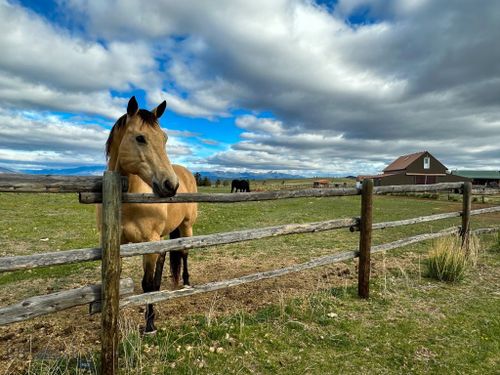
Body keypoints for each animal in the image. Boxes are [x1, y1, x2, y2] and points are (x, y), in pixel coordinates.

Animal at [97, 97, 197, 334]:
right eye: (140, 138)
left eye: (165, 138)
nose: (171, 185)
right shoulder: (118, 245)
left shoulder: (148, 243)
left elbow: (147, 284)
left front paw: (150, 324)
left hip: (186, 226)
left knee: (184, 252)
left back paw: (186, 282)